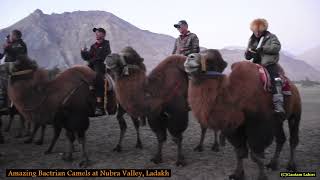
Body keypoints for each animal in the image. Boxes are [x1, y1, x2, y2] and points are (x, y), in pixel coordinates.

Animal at [184, 48, 302, 179]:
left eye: (210, 60)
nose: (190, 57)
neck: (236, 96)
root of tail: (294, 87)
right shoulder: (235, 128)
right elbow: (240, 152)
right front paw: (237, 174)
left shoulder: (259, 125)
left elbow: (256, 155)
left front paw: (262, 176)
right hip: (277, 121)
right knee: (281, 139)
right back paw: (272, 164)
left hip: (295, 113)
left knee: (293, 139)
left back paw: (291, 166)